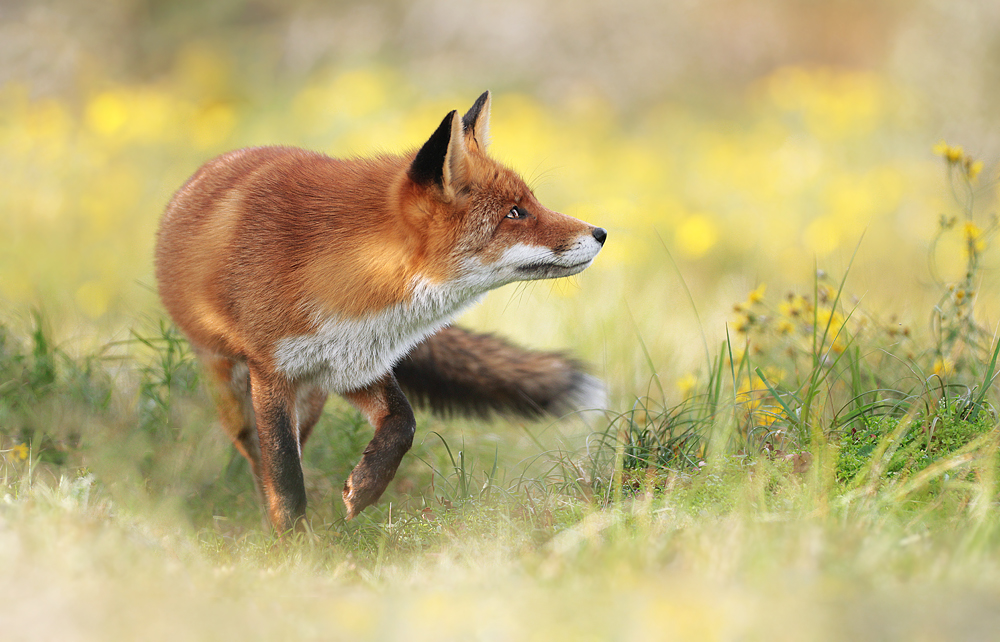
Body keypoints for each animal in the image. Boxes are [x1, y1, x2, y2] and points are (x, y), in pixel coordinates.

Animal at [155, 90, 604, 528]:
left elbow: (404, 422)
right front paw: (295, 542)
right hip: (234, 392)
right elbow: (284, 474)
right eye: (515, 212)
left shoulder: (354, 364)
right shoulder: (272, 373)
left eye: (531, 203)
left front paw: (367, 488)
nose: (600, 233)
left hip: (313, 395)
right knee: (256, 454)